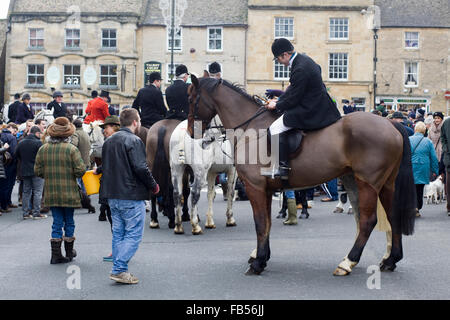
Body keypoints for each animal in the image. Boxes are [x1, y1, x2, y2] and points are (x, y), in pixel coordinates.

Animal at [185, 76, 414, 276]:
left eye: (191, 98)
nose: (190, 132)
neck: (252, 128)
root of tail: (391, 124)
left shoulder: (254, 186)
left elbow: (260, 222)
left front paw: (258, 262)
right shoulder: (266, 189)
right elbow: (267, 222)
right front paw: (262, 256)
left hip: (367, 184)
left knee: (367, 221)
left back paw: (348, 262)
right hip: (385, 184)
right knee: (392, 216)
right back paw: (390, 260)